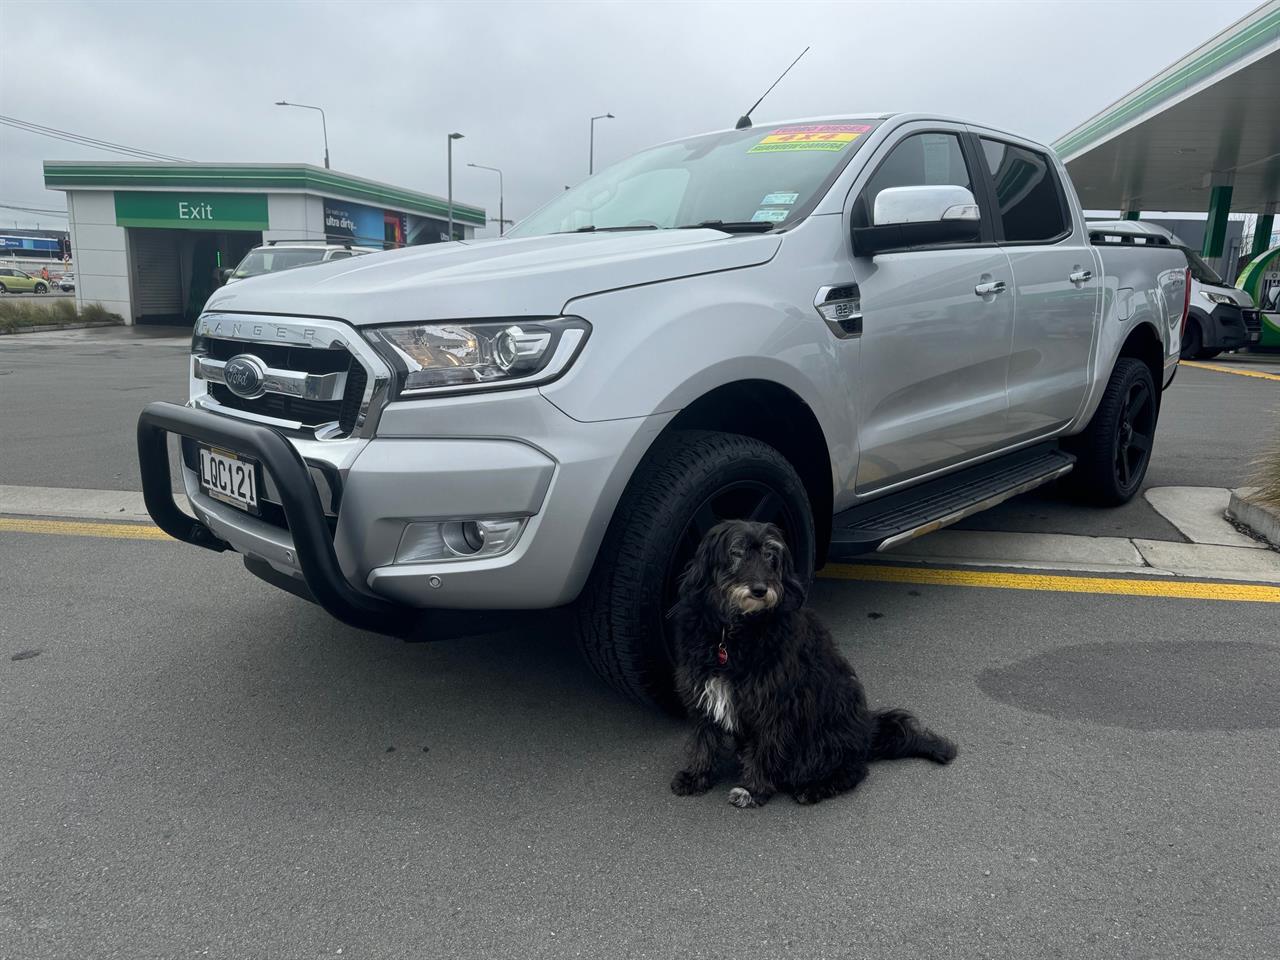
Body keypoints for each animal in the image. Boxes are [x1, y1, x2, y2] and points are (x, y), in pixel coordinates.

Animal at [670, 522, 962, 808]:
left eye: (770, 555)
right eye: (736, 552)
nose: (760, 590)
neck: (732, 633)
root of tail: (868, 734)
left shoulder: (774, 703)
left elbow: (765, 746)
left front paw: (753, 789)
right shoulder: (704, 691)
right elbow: (704, 740)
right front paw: (696, 776)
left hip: (822, 740)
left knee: (852, 770)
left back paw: (814, 788)